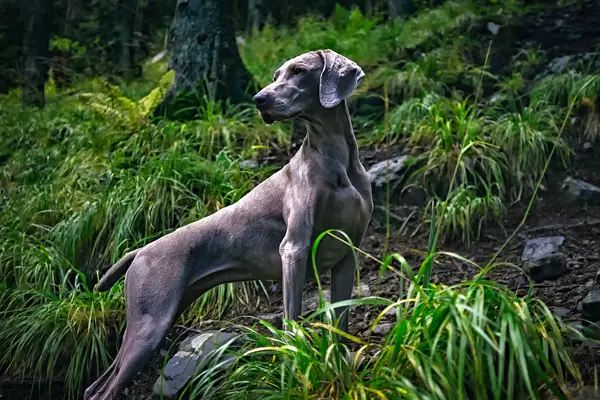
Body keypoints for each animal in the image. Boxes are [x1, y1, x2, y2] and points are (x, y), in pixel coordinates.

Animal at [83, 50, 376, 400]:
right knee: (103, 390)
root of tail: (139, 251)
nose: (259, 99)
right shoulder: (294, 249)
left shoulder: (347, 253)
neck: (336, 158)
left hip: (154, 318)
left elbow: (341, 324)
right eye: (276, 74)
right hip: (149, 325)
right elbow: (291, 320)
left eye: (298, 71)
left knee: (96, 385)